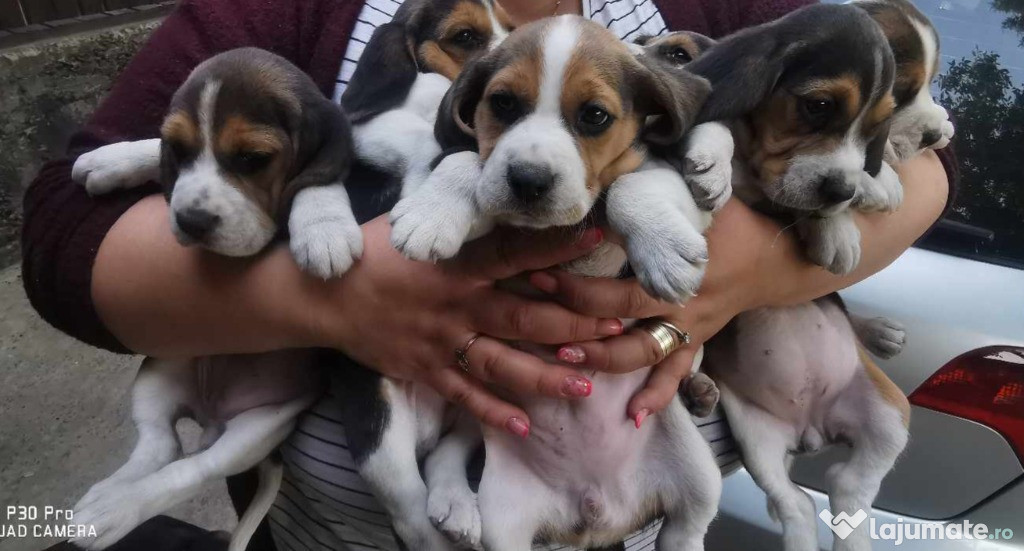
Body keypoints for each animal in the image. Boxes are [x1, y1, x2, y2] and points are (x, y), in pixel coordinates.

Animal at [70, 46, 352, 548]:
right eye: (180, 150)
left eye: (253, 158)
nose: (191, 221)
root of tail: (210, 413)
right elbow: (155, 147)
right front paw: (110, 160)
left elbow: (315, 181)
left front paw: (325, 225)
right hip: (161, 368)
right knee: (160, 444)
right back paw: (106, 498)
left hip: (261, 425)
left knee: (193, 468)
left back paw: (114, 510)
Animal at [387, 14, 724, 544]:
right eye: (503, 103)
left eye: (594, 116)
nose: (528, 180)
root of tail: (598, 512)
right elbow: (468, 162)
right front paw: (430, 214)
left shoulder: (678, 190)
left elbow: (629, 188)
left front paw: (665, 250)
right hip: (504, 517)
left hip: (697, 474)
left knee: (686, 529)